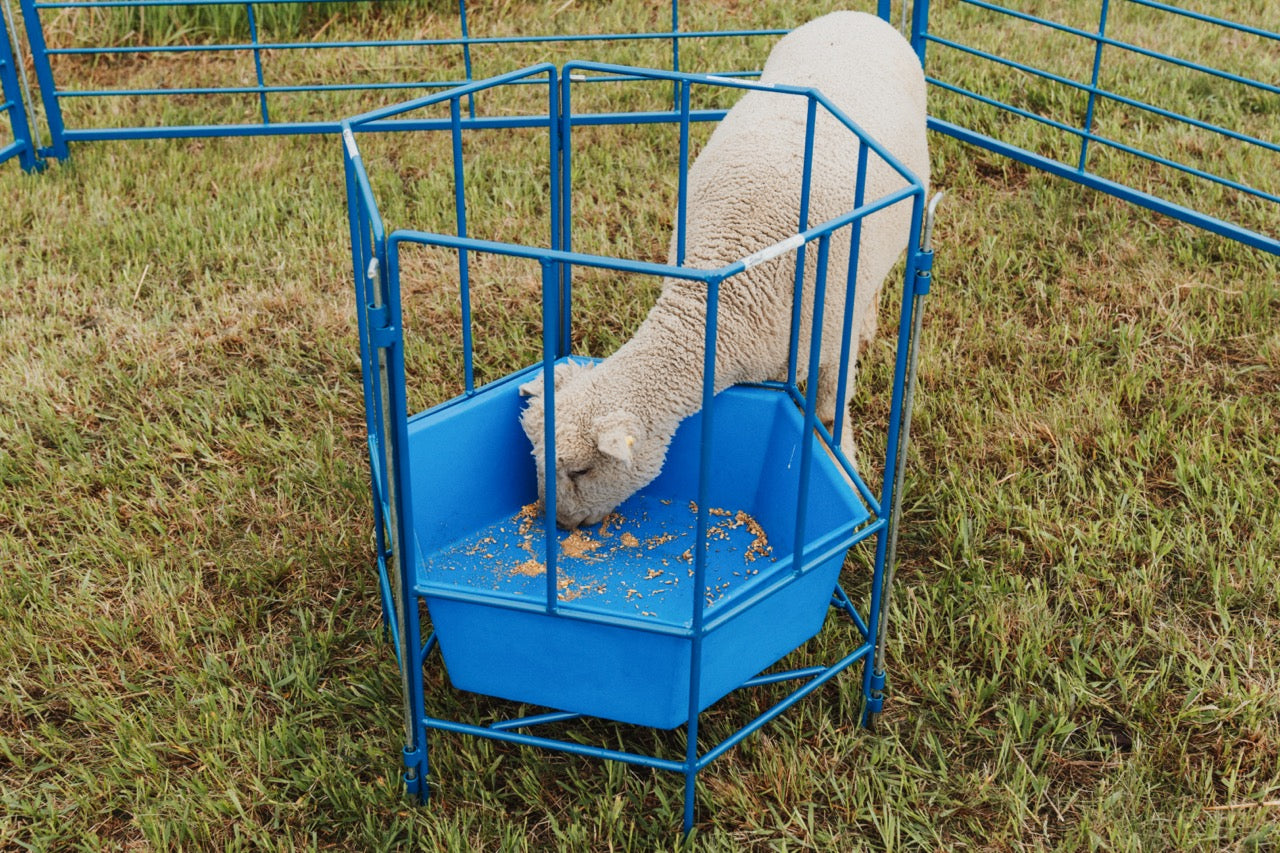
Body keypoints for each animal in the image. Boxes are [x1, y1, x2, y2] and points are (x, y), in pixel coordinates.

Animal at [520, 10, 929, 529]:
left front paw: (845, 460)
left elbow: (831, 411)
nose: (558, 523)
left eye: (580, 470)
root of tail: (858, 16)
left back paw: (872, 325)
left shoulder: (832, 337)